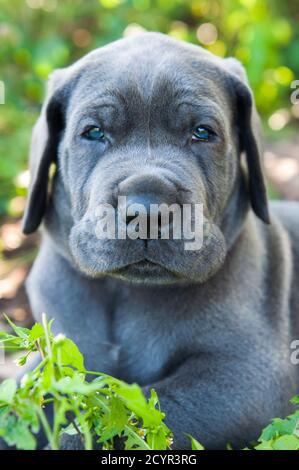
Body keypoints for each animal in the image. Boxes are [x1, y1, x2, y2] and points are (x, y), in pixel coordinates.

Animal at [19, 32, 299, 448]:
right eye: (94, 132)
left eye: (202, 132)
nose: (148, 210)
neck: (129, 293)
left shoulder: (247, 374)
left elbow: (144, 411)